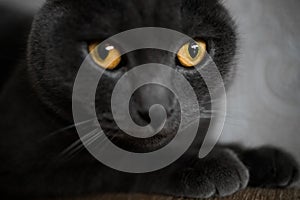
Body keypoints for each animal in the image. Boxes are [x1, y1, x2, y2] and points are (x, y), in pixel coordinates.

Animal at [0, 0, 298, 198]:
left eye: (192, 50)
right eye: (104, 53)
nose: (156, 107)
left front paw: (266, 158)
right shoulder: (27, 173)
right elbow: (115, 164)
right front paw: (207, 165)